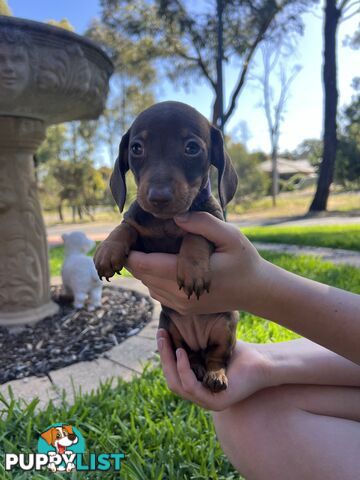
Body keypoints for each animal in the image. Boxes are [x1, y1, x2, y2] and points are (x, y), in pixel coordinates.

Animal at [94, 100, 238, 390]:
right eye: (136, 148)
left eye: (191, 148)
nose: (158, 197)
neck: (167, 221)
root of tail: (199, 341)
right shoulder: (141, 234)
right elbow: (126, 226)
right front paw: (107, 250)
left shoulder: (213, 224)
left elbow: (196, 234)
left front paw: (192, 269)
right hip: (169, 328)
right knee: (188, 353)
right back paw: (194, 366)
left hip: (226, 326)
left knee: (217, 356)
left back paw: (215, 374)